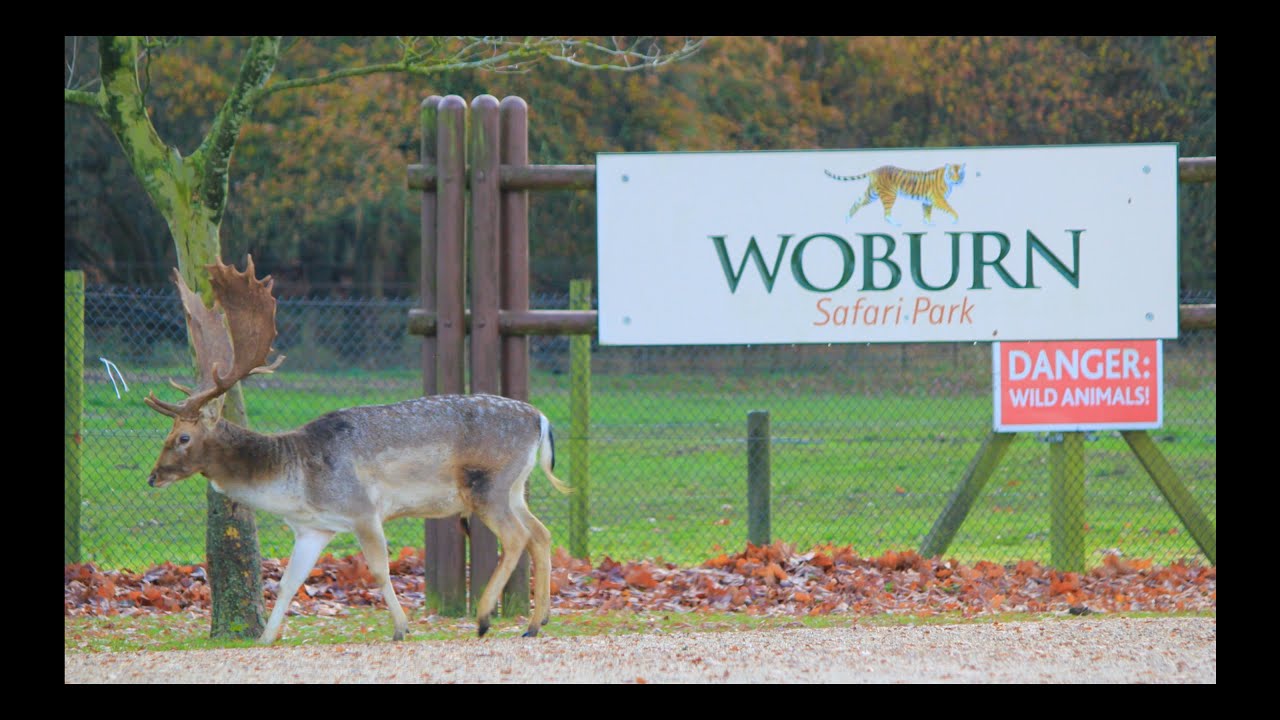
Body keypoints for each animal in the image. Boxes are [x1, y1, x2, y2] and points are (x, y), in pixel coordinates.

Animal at [141, 254, 576, 640]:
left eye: (182, 437)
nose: (153, 477)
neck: (296, 483)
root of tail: (541, 419)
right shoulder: (313, 529)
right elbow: (287, 582)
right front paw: (265, 638)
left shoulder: (364, 510)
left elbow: (379, 570)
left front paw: (401, 629)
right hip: (514, 486)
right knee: (541, 533)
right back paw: (535, 623)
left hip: (487, 484)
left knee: (517, 537)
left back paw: (486, 619)